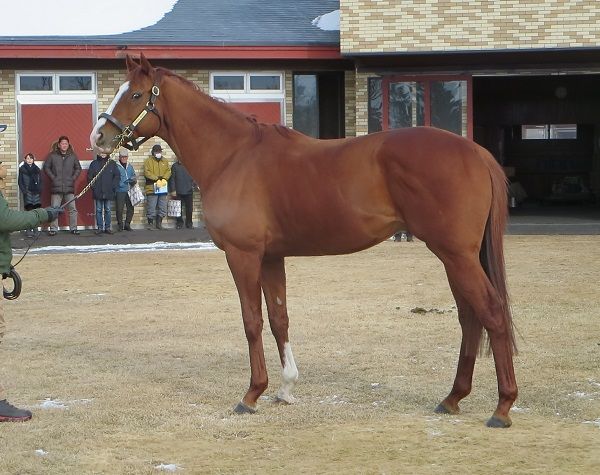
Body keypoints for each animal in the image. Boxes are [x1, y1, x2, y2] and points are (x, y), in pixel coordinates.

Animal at [91, 54, 516, 428]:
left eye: (135, 95)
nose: (99, 136)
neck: (233, 156)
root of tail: (476, 152)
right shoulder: (270, 257)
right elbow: (279, 318)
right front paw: (285, 389)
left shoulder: (243, 256)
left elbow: (251, 321)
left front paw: (251, 395)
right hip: (456, 257)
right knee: (470, 317)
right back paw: (453, 398)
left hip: (456, 255)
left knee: (492, 312)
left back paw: (502, 407)